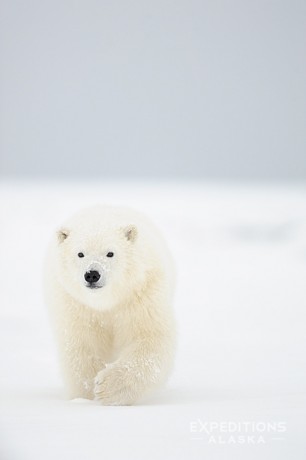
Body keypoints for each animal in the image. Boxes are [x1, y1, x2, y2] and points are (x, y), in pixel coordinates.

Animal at [44, 207, 176, 404]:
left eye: (110, 253)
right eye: (80, 253)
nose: (92, 274)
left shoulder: (141, 294)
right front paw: (86, 394)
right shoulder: (76, 305)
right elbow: (83, 346)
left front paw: (107, 389)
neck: (106, 302)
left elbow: (149, 337)